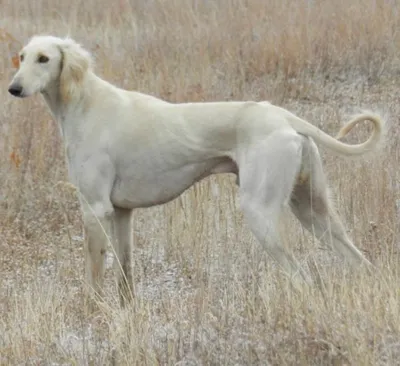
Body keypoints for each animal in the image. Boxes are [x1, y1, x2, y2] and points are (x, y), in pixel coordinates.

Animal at [8, 34, 384, 304]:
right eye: (22, 56)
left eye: (44, 58)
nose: (13, 88)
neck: (84, 102)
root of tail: (286, 117)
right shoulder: (122, 212)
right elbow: (126, 275)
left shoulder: (95, 209)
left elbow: (94, 273)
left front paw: (93, 317)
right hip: (313, 211)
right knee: (360, 264)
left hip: (260, 212)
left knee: (302, 278)